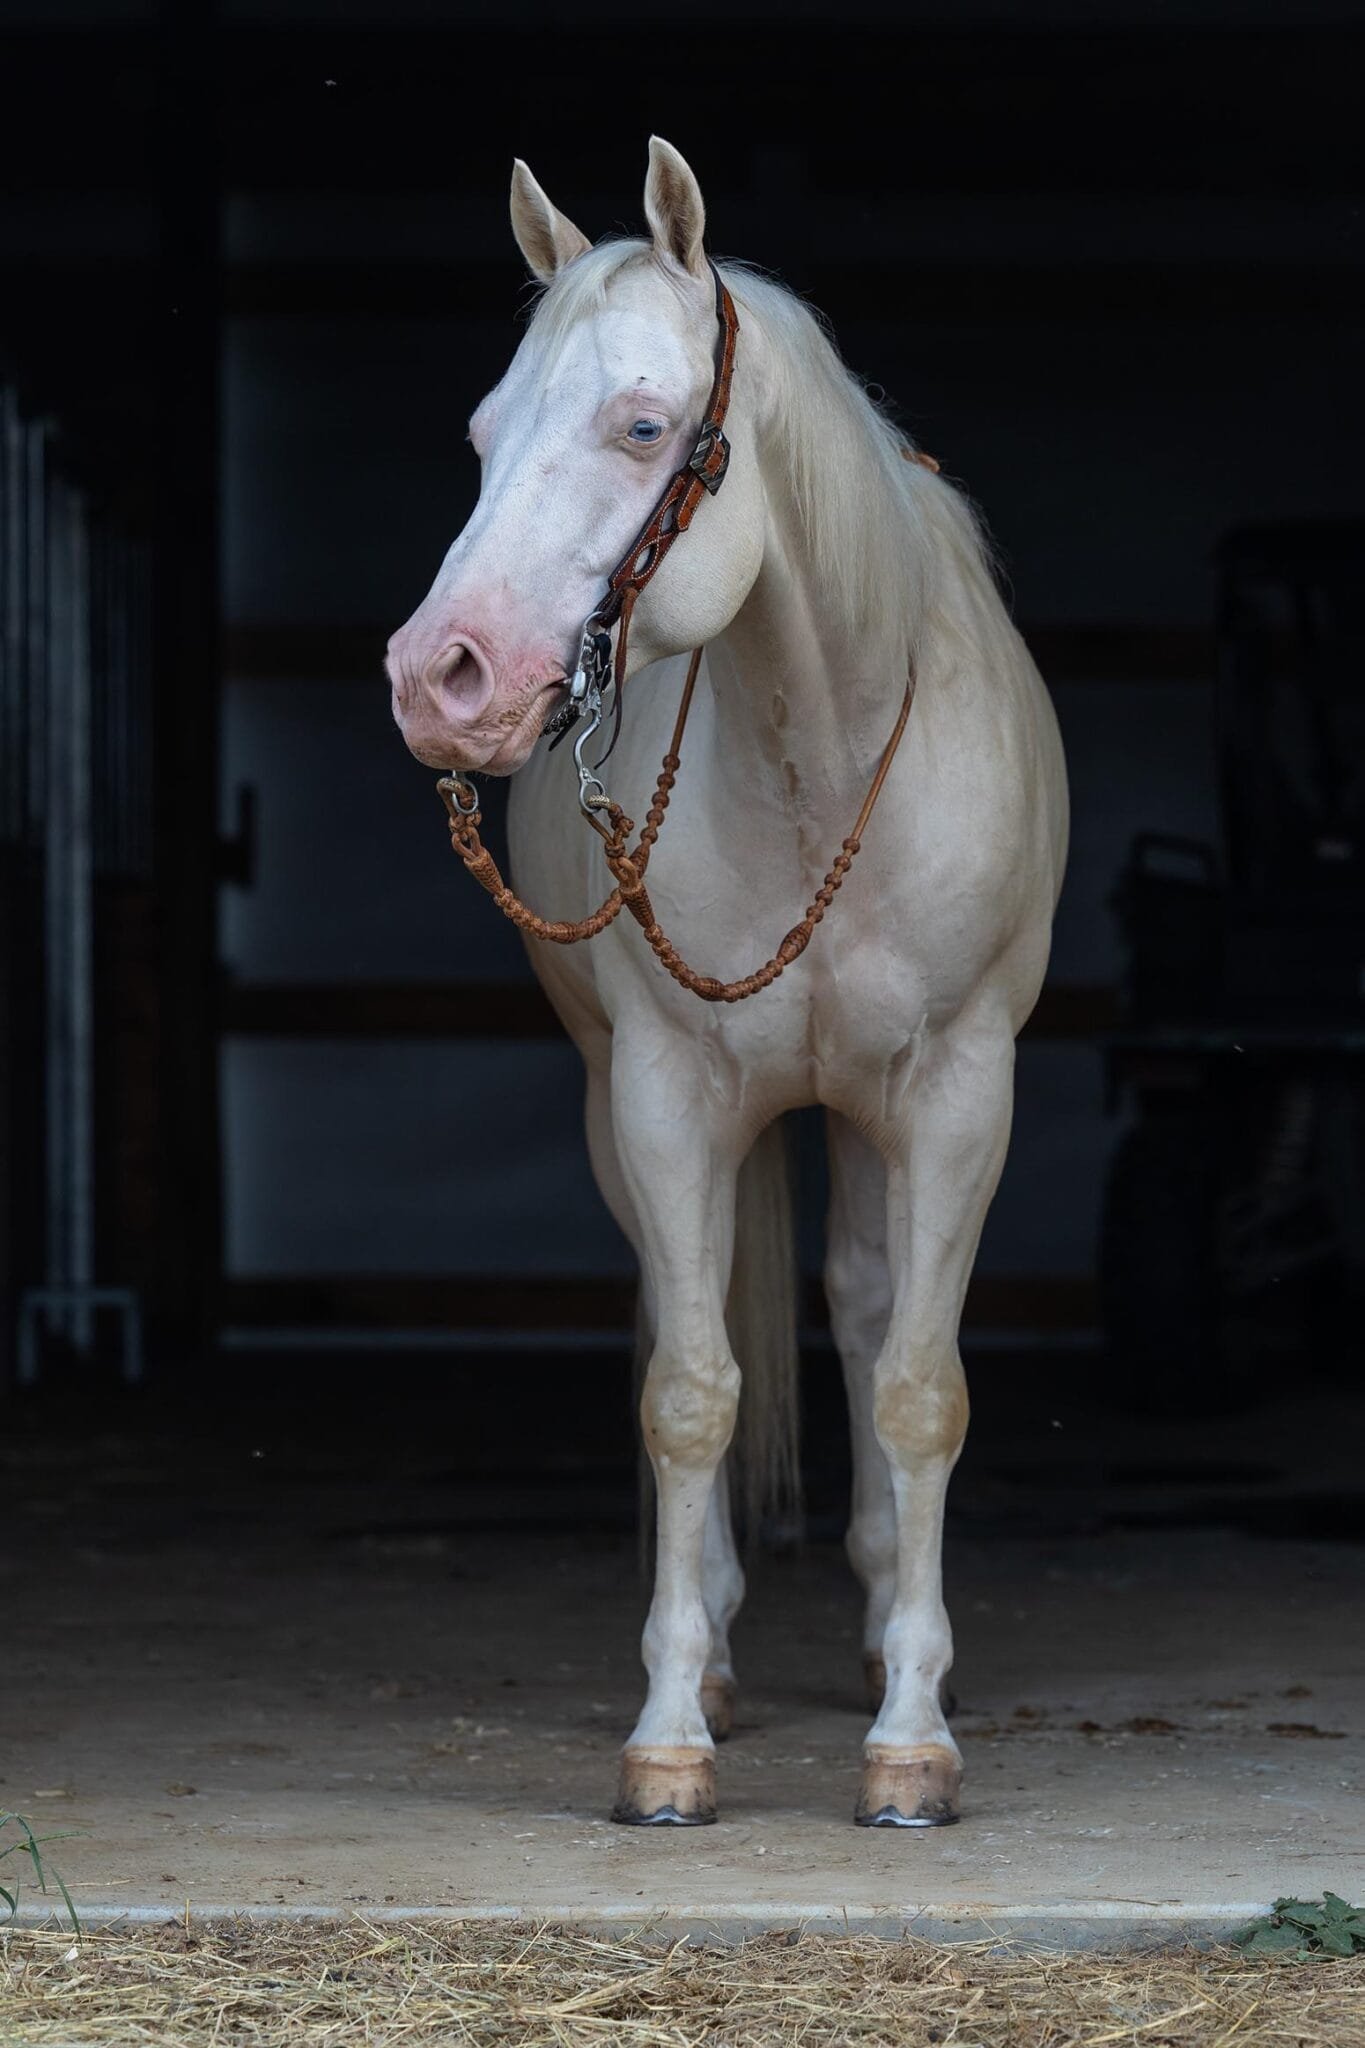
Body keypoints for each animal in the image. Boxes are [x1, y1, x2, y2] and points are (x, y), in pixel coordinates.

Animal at [386, 138, 1068, 1829]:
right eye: (484, 431)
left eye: (642, 427)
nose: (439, 678)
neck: (814, 754)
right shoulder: (663, 1097)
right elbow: (690, 1392)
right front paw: (668, 1736)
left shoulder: (958, 1094)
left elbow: (916, 1387)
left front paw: (909, 1742)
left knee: (867, 1308)